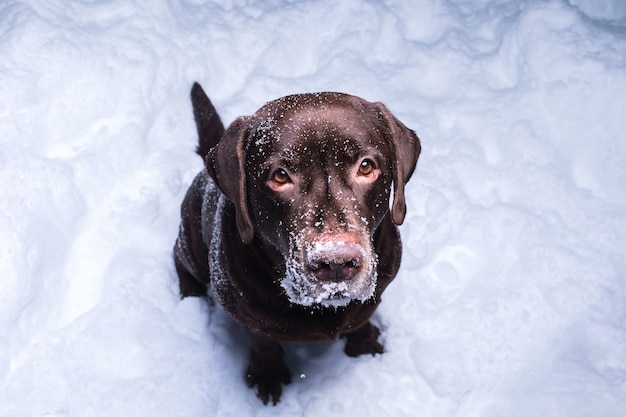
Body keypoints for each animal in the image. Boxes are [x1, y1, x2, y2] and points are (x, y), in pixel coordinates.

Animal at [173, 81, 422, 404]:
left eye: (366, 167)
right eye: (280, 176)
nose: (336, 262)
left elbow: (362, 315)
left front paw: (364, 344)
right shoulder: (242, 310)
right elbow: (262, 340)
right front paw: (268, 375)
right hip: (193, 245)